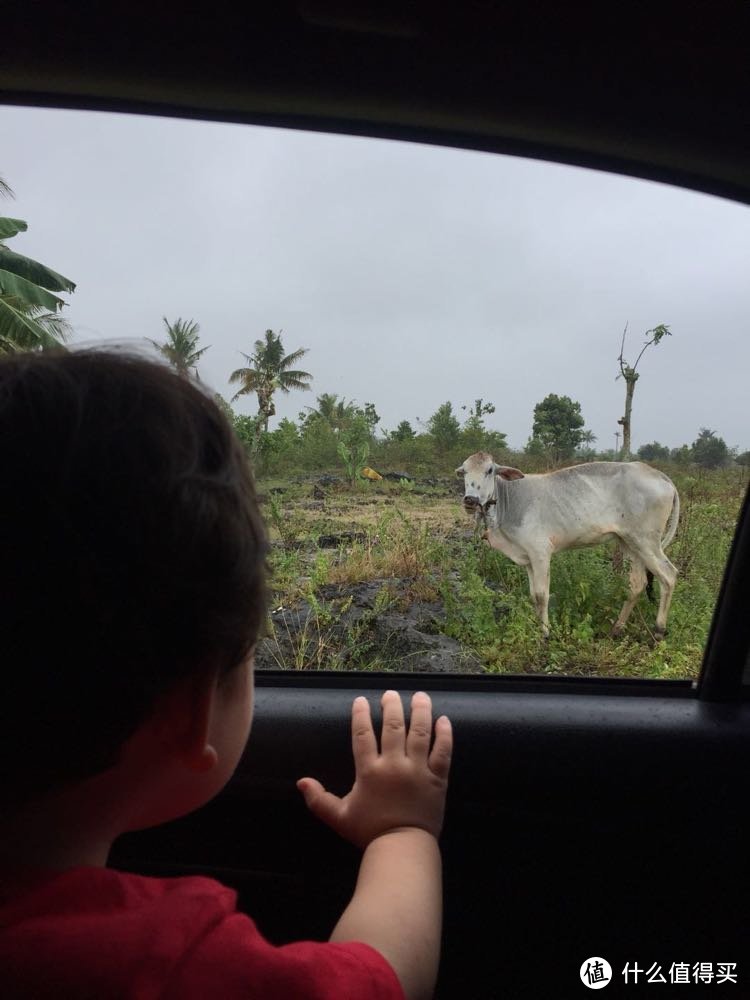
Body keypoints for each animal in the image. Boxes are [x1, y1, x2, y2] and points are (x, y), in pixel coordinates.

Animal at [458, 450, 680, 636]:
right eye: (464, 472)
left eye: (489, 470)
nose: (470, 499)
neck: (508, 501)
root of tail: (660, 476)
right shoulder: (528, 558)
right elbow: (533, 595)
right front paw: (537, 626)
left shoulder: (540, 552)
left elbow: (541, 594)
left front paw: (545, 632)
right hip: (630, 544)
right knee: (637, 584)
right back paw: (617, 628)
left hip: (647, 542)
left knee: (668, 575)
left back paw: (659, 630)